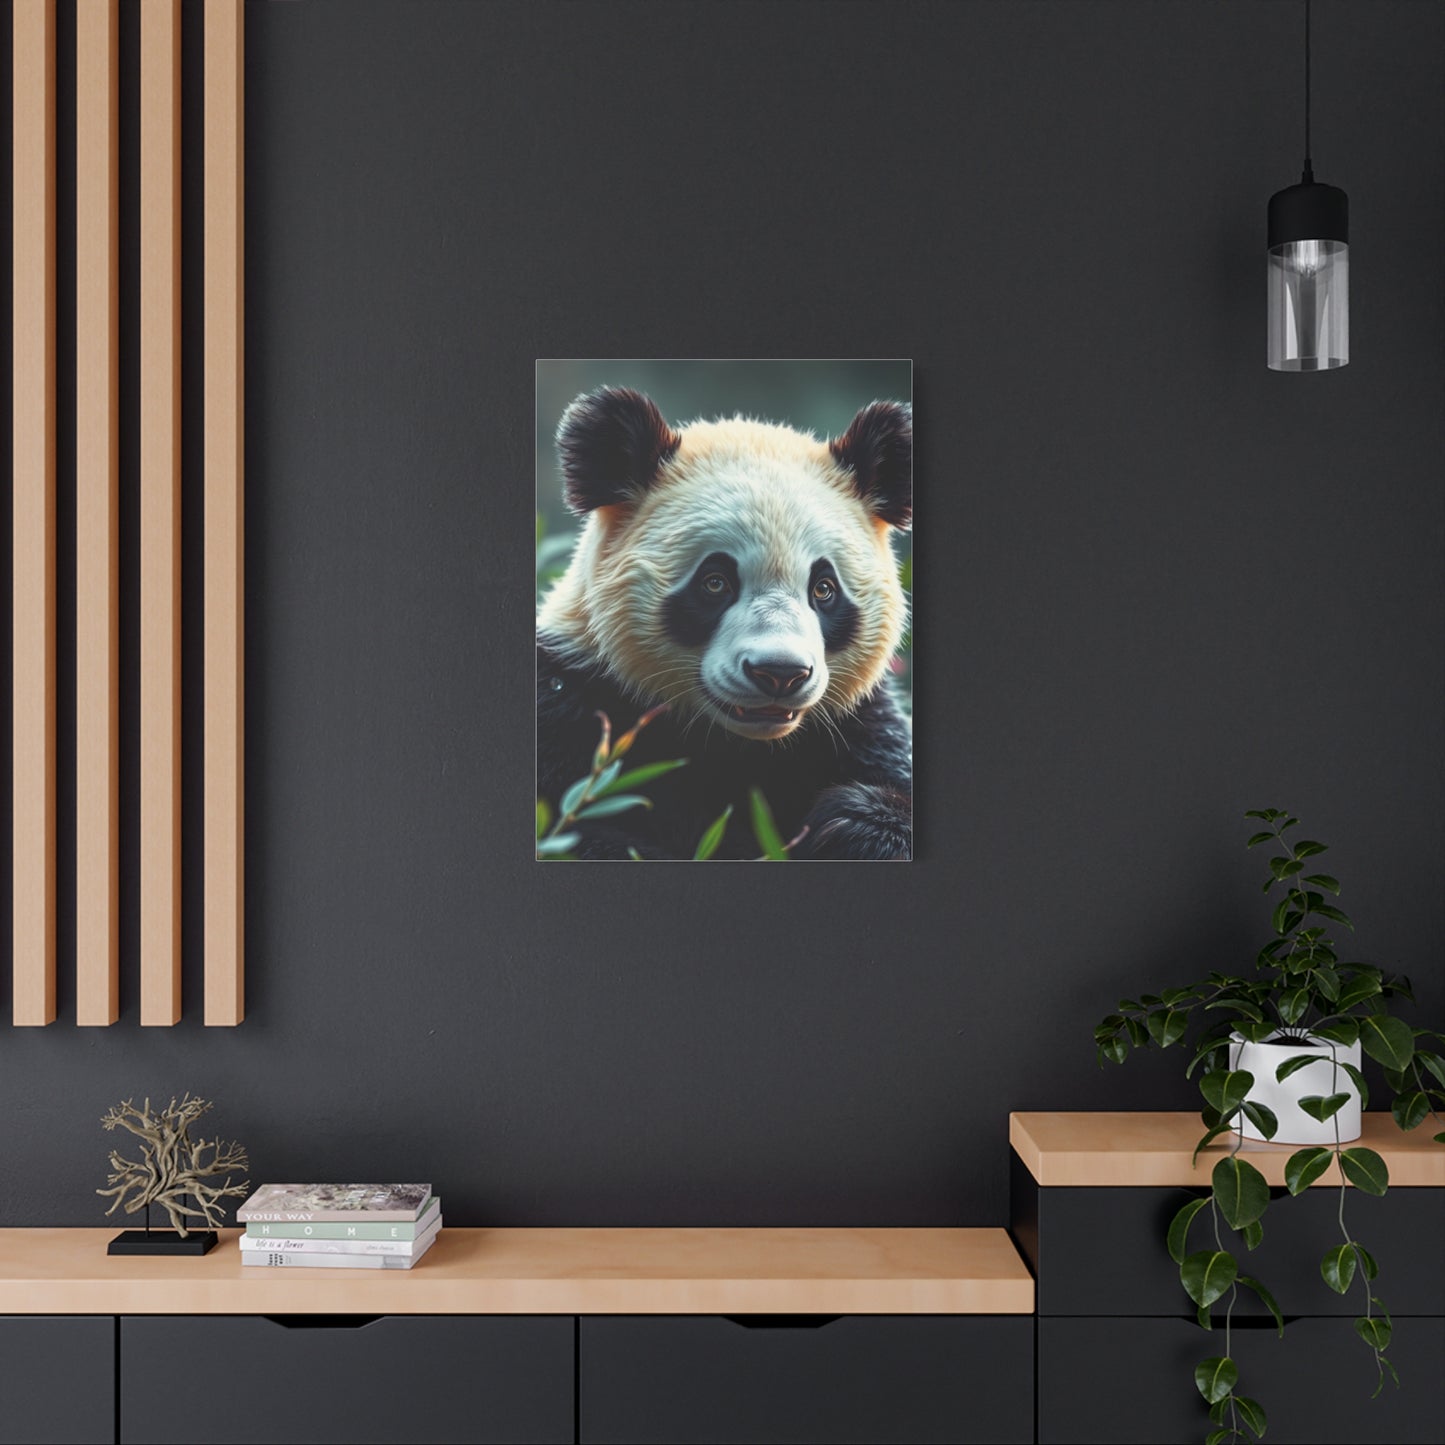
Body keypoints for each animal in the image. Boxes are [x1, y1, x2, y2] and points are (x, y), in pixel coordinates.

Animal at [537, 386, 912, 860]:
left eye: (824, 588)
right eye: (715, 582)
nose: (780, 673)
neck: (740, 744)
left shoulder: (858, 726)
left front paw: (852, 825)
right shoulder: (570, 705)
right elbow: (580, 831)